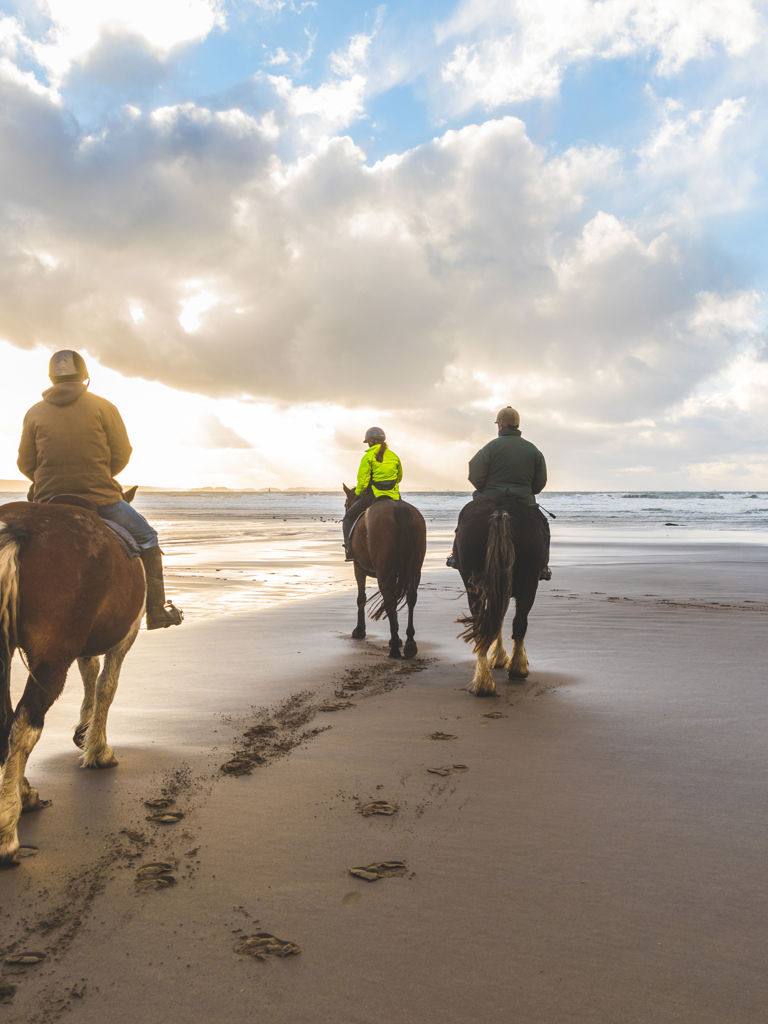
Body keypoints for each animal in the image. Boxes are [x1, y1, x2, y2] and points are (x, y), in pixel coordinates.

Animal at [0, 501, 146, 865]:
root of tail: (19, 524)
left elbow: (89, 672)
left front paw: (84, 731)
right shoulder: (124, 639)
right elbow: (106, 686)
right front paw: (98, 749)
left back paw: (23, 794)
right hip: (52, 657)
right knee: (24, 726)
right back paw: (7, 834)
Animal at [342, 486, 426, 659]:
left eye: (346, 504)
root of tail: (399, 510)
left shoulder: (358, 568)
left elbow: (361, 598)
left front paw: (359, 630)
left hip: (384, 573)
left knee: (389, 600)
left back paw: (394, 646)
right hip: (415, 570)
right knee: (410, 599)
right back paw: (409, 643)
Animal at [455, 496, 547, 696]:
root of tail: (500, 511)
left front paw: (498, 656)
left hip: (475, 585)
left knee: (482, 624)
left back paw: (483, 680)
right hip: (529, 583)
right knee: (519, 623)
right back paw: (517, 668)